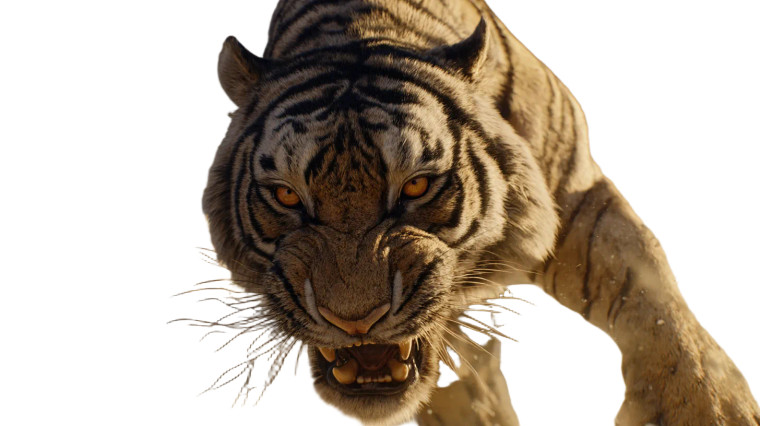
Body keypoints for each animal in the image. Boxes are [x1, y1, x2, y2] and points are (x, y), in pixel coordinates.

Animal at [201, 0, 760, 424]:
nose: (356, 322)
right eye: (287, 196)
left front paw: (710, 407)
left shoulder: (576, 191)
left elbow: (648, 287)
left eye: (417, 185)